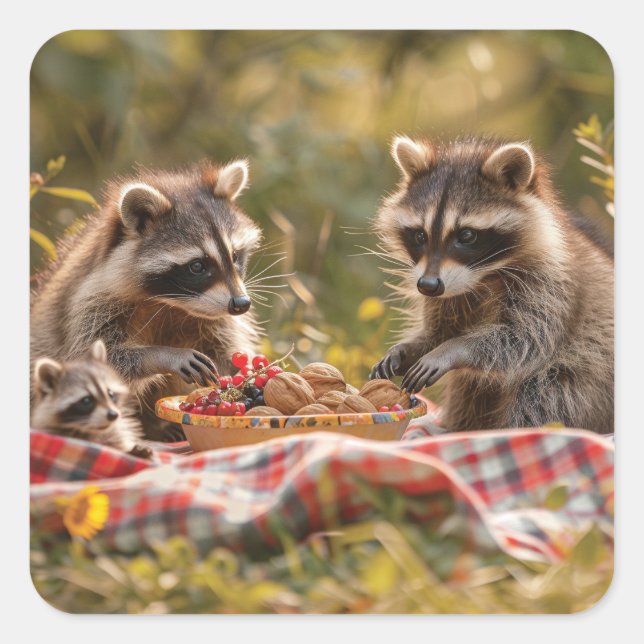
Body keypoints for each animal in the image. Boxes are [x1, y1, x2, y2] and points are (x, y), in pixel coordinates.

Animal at [31, 160, 262, 439]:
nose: (241, 304)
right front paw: (163, 355)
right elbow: (97, 356)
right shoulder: (90, 302)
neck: (169, 303)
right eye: (197, 266)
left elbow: (225, 348)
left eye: (235, 256)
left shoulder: (213, 317)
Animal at [370, 135, 614, 434]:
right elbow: (439, 331)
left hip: (593, 371)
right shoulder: (444, 291)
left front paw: (455, 348)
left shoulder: (553, 283)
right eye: (419, 235)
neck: (483, 277)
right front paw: (409, 348)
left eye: (466, 235)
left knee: (546, 391)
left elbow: (525, 339)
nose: (427, 286)